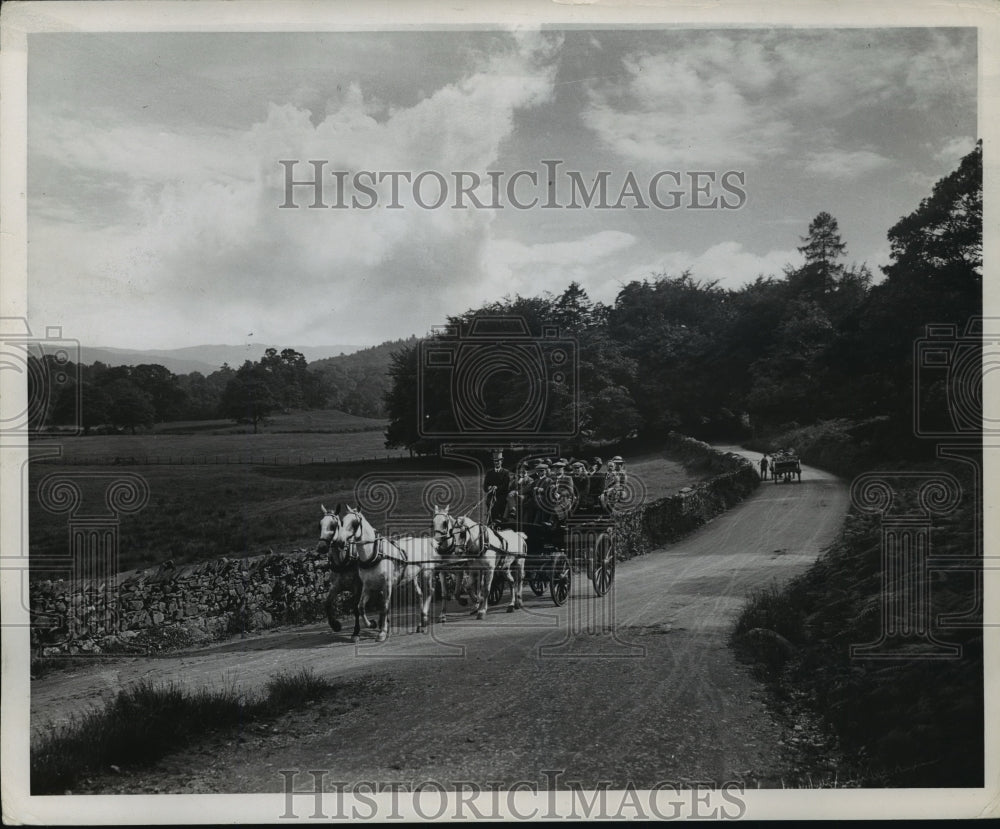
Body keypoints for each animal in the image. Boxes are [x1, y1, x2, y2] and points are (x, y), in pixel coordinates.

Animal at [328, 502, 438, 644]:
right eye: (341, 522)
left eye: (355, 523)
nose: (340, 542)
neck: (375, 554)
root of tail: (426, 541)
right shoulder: (367, 586)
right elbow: (360, 607)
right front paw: (372, 624)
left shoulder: (387, 585)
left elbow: (384, 607)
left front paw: (382, 632)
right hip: (413, 576)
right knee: (420, 594)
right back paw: (420, 624)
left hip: (426, 572)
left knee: (430, 592)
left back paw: (424, 619)